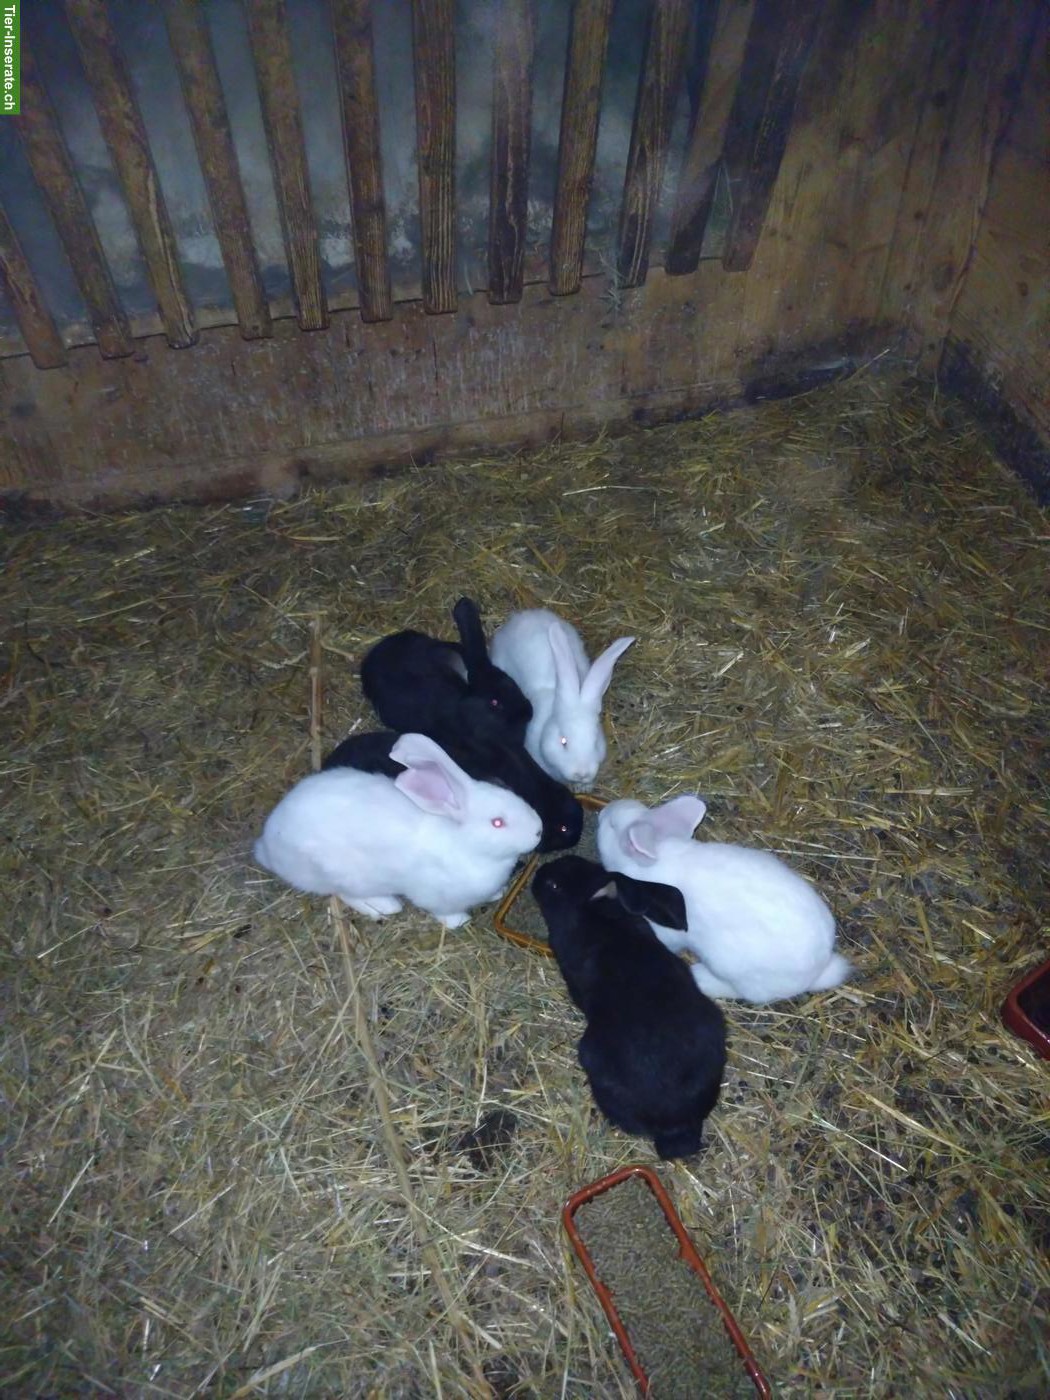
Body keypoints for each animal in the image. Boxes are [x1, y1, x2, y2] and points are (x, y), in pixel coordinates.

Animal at [254, 733, 543, 928]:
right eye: (497, 822)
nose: (539, 831)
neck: (466, 843)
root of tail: (267, 846)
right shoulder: (436, 896)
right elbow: (446, 912)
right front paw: (460, 922)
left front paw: (497, 893)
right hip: (344, 875)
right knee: (344, 894)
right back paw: (385, 906)